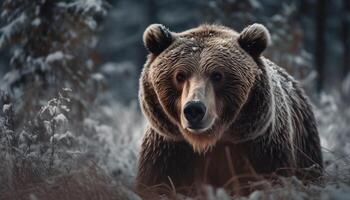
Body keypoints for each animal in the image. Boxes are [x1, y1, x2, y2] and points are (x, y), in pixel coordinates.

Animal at [136, 23, 322, 195]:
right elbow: (157, 184)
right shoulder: (169, 150)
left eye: (217, 75)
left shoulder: (261, 148)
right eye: (180, 75)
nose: (194, 109)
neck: (207, 142)